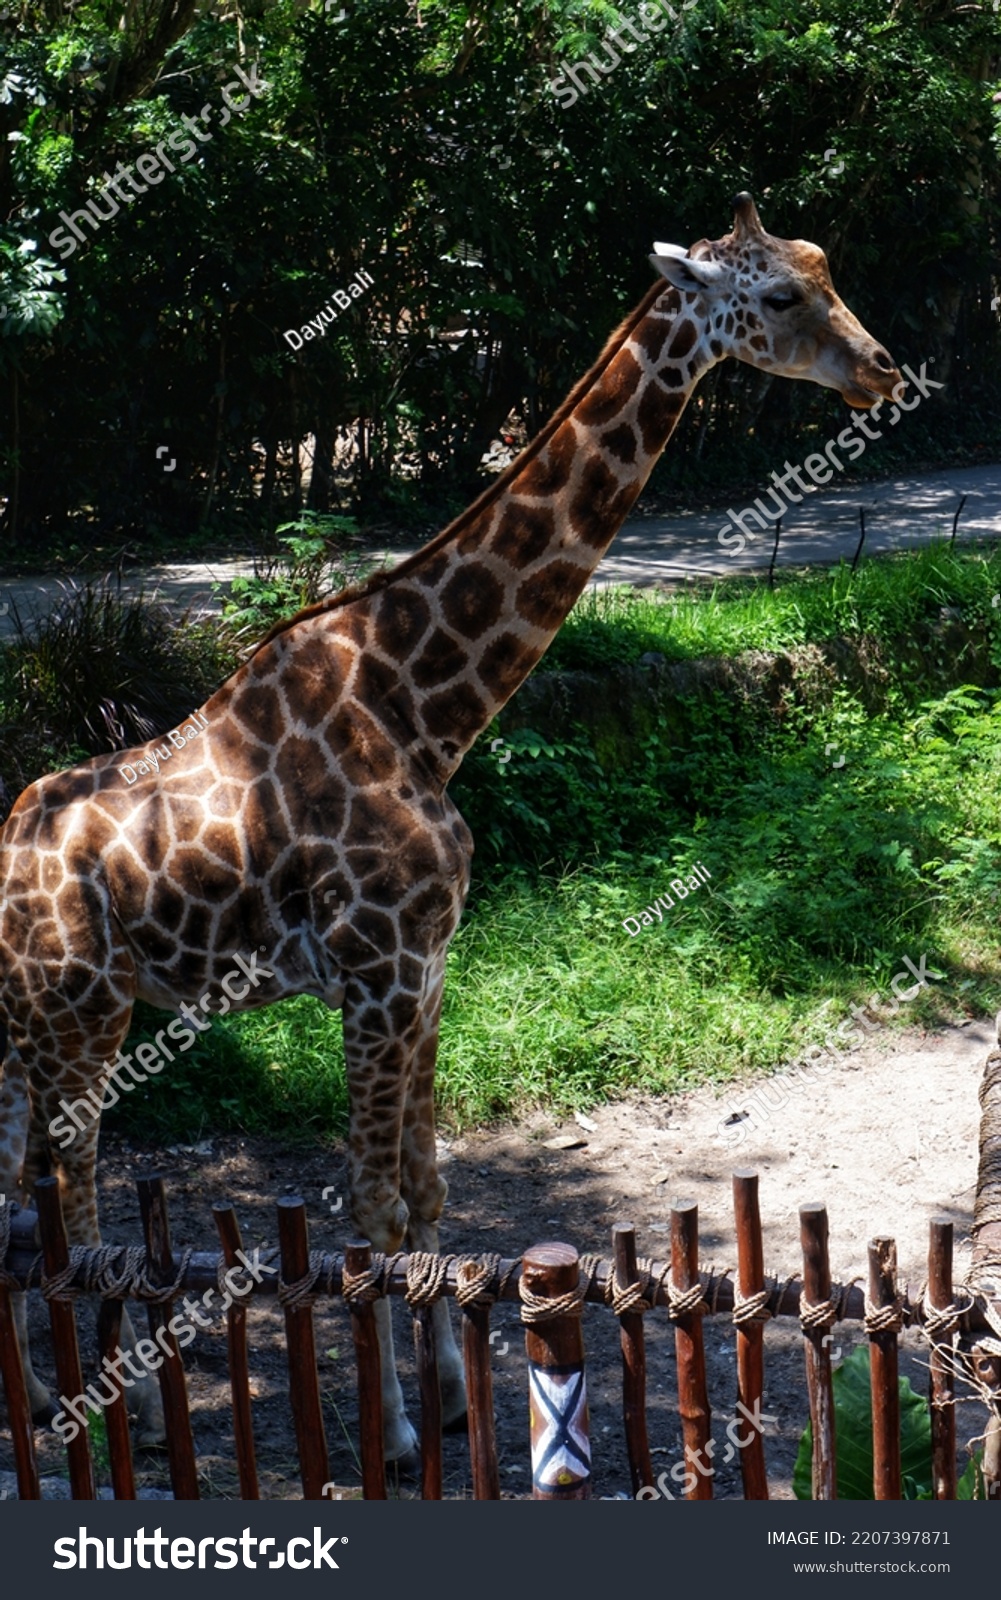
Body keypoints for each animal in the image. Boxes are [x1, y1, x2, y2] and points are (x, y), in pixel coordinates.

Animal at [0, 193, 901, 1465]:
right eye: (776, 294)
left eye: (825, 270)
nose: (879, 371)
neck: (424, 708)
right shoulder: (375, 971)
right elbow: (372, 1204)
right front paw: (399, 1436)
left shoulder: (427, 967)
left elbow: (424, 1192)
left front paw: (450, 1400)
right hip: (80, 1011)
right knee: (65, 1191)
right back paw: (90, 1404)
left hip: (28, 1025)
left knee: (11, 1187)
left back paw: (37, 1399)